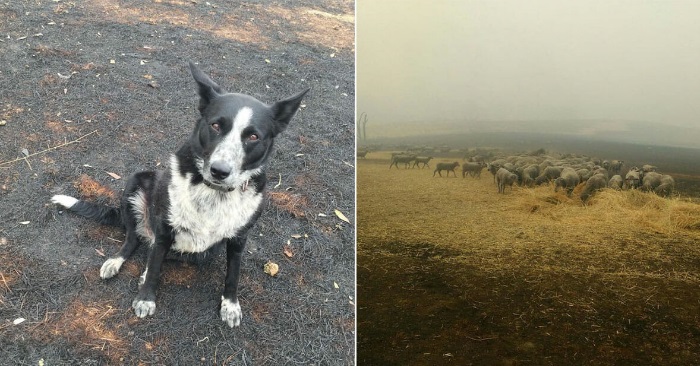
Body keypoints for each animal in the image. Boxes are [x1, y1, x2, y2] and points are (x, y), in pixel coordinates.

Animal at [50, 61, 308, 328]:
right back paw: (116, 261)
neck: (212, 192)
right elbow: (155, 266)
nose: (219, 171)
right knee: (134, 239)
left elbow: (233, 274)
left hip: (205, 251)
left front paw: (230, 305)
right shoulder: (165, 228)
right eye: (216, 125)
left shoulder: (239, 239)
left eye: (253, 136)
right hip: (136, 183)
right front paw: (146, 298)